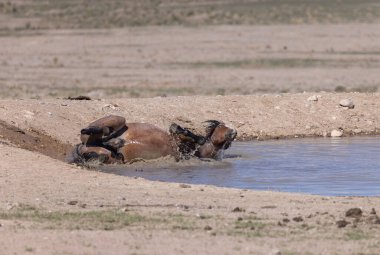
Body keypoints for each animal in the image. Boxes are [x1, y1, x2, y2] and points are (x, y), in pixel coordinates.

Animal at [71, 114, 236, 164]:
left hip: (103, 153)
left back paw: (115, 144)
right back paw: (113, 140)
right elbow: (183, 132)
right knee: (98, 131)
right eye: (223, 125)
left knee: (101, 147)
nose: (234, 132)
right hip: (118, 119)